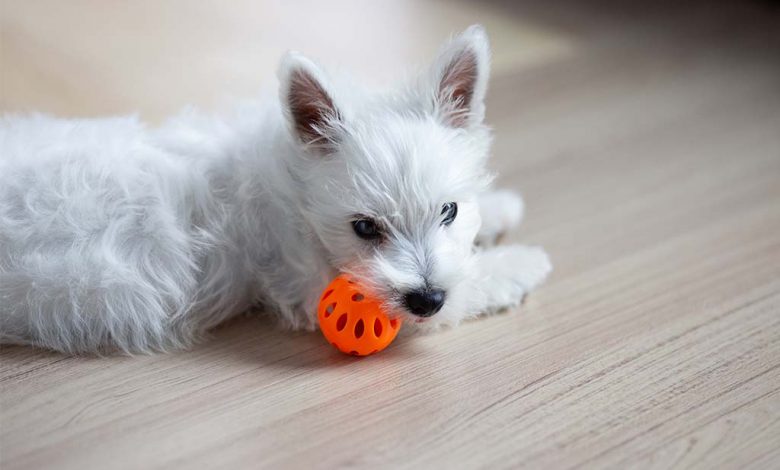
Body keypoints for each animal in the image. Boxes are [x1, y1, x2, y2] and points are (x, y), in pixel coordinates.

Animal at [0, 24, 552, 352]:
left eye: (448, 212)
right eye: (364, 228)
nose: (427, 297)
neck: (294, 188)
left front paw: (501, 208)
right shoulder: (314, 286)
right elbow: (474, 285)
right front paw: (524, 261)